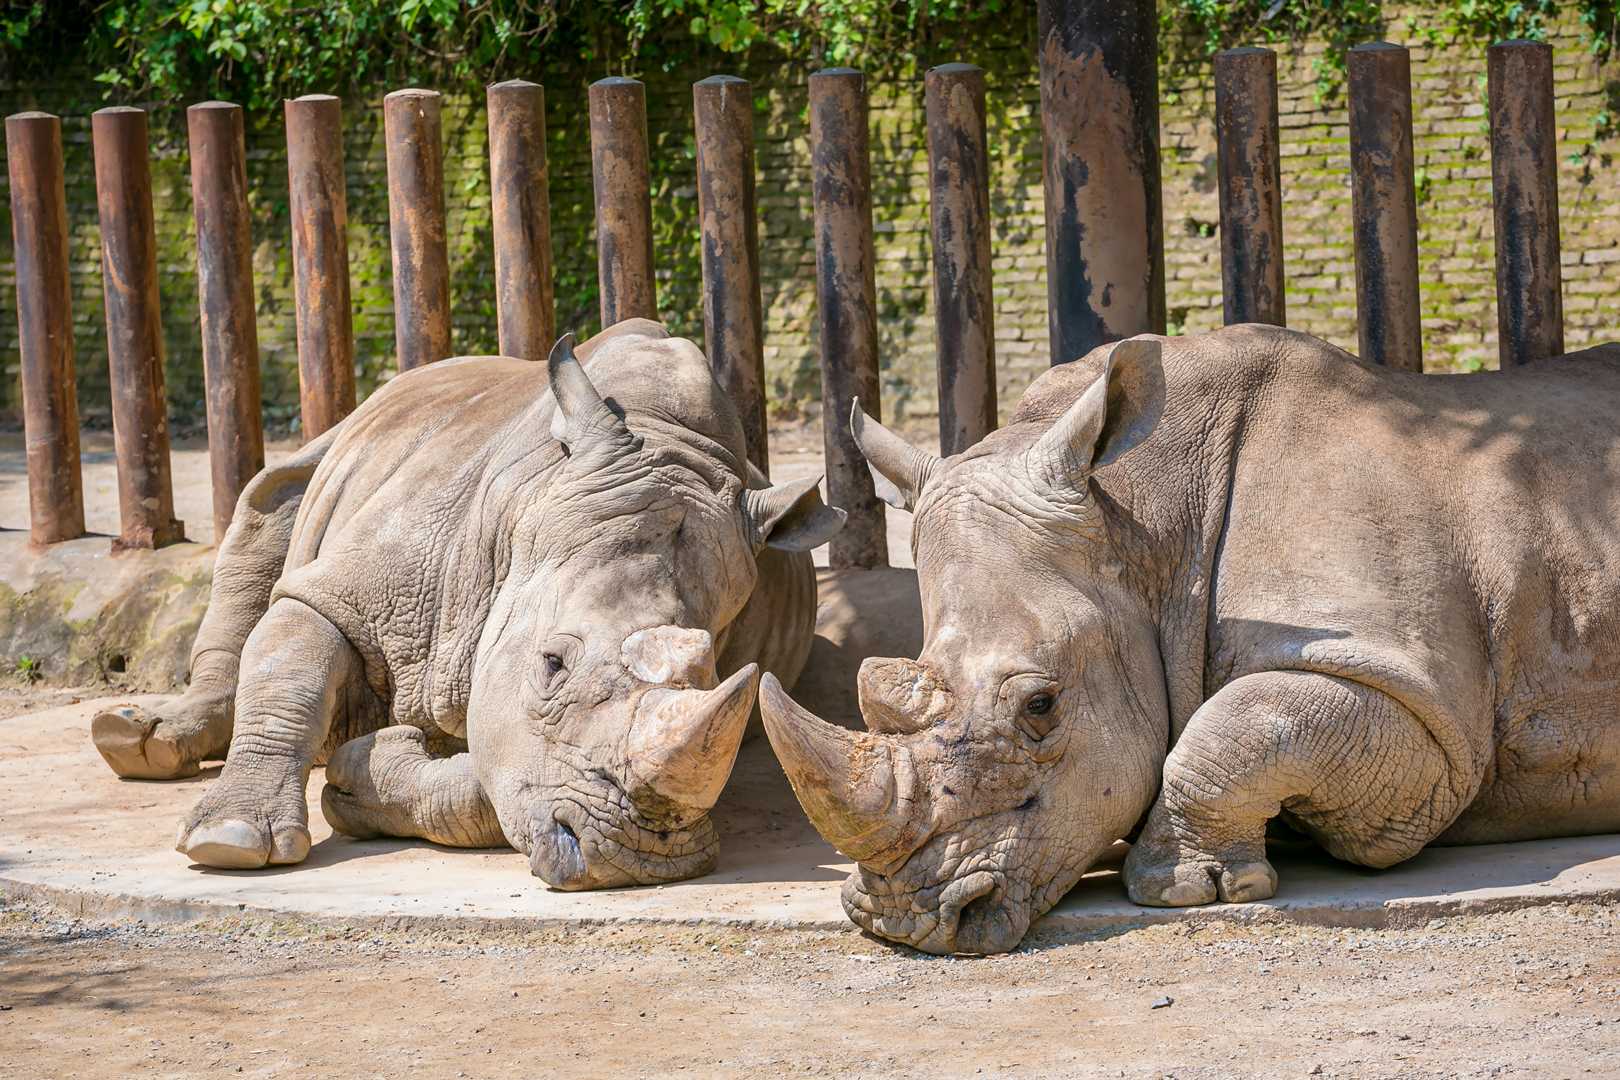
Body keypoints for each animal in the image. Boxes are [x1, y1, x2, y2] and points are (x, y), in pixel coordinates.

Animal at [91, 320, 844, 888]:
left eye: (717, 675)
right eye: (551, 665)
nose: (642, 861)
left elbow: (501, 782)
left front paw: (364, 776)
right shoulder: (352, 590)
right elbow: (290, 664)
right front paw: (231, 838)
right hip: (336, 446)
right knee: (265, 510)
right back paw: (135, 740)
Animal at [760, 323, 1620, 954]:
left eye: (1041, 707)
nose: (902, 918)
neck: (1143, 528)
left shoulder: (1419, 706)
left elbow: (1241, 728)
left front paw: (1186, 889)